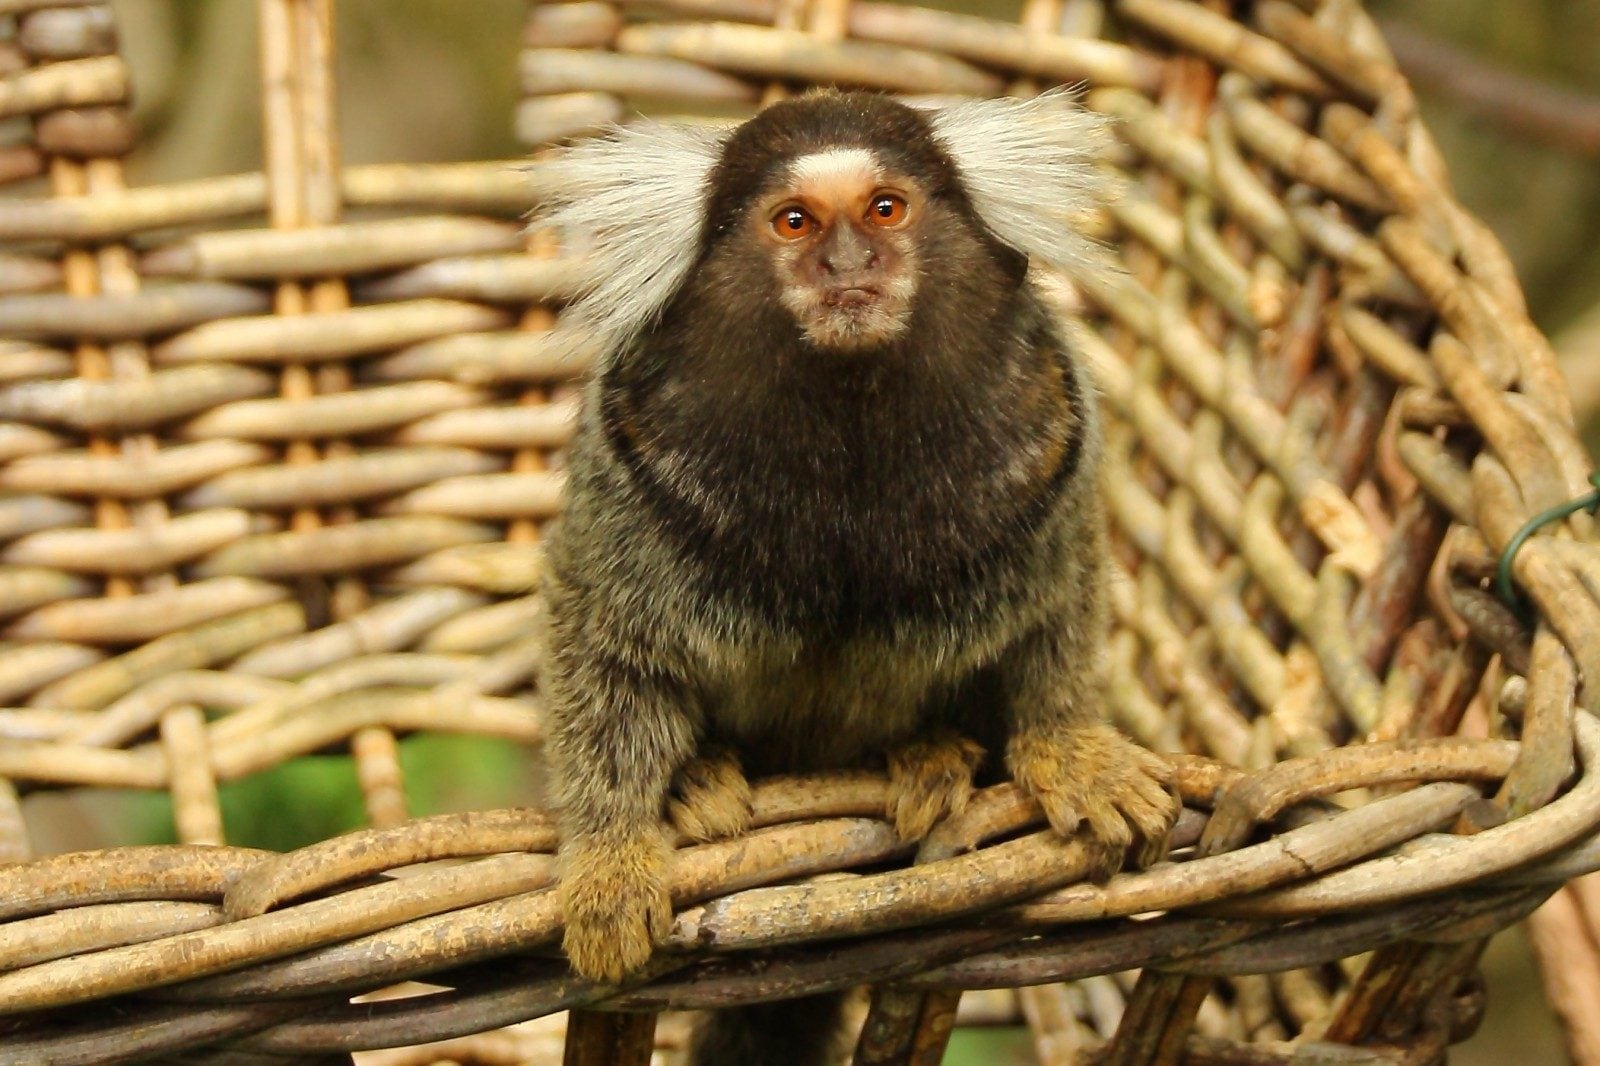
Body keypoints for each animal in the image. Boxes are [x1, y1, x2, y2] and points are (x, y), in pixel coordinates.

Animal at [537, 93, 1177, 1062]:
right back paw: (700, 780)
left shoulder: (1050, 457)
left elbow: (1058, 612)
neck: (849, 419)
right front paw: (611, 855)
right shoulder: (631, 480)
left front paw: (1068, 747)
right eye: (794, 221)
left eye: (885, 209)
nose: (847, 266)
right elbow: (607, 655)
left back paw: (927, 754)